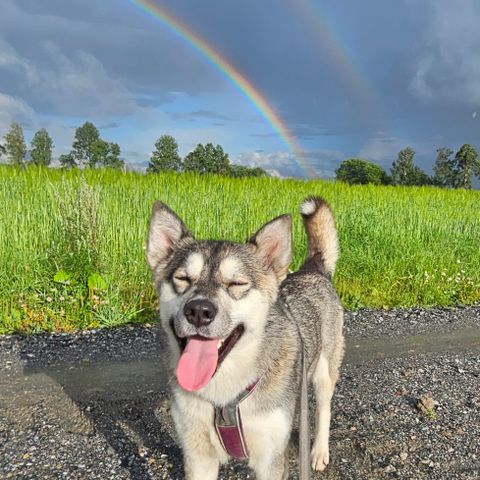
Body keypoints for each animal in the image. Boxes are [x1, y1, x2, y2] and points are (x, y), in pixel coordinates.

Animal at [146, 196, 344, 480]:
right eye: (182, 278)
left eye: (236, 283)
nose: (199, 311)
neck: (224, 397)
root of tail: (312, 269)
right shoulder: (198, 455)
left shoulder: (270, 458)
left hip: (324, 372)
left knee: (324, 409)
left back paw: (318, 451)